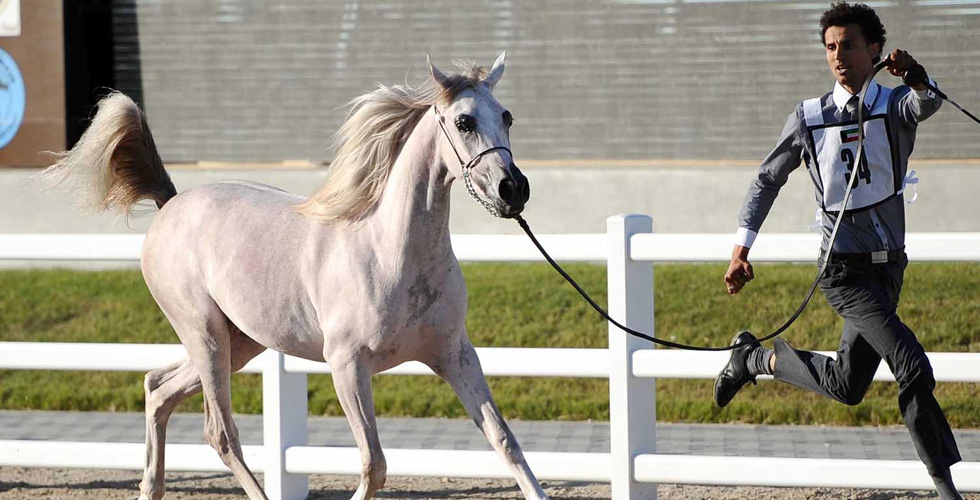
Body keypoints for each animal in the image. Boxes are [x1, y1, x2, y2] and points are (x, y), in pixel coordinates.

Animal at [44, 52, 544, 500]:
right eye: (463, 122)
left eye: (507, 117)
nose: (513, 189)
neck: (390, 255)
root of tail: (171, 204)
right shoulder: (347, 366)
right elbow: (374, 465)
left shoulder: (455, 355)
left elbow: (506, 443)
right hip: (205, 337)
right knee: (219, 433)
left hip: (239, 343)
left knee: (157, 389)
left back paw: (150, 488)